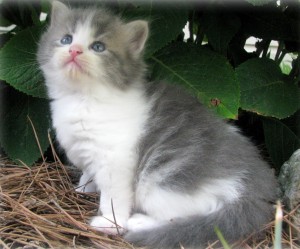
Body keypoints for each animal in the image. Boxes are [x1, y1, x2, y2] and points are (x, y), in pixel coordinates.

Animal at [37, 0, 276, 248]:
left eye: (98, 47)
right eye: (66, 39)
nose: (74, 50)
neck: (83, 98)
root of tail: (253, 180)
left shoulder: (116, 161)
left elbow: (114, 196)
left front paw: (112, 222)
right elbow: (90, 172)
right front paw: (85, 185)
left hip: (161, 179)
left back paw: (141, 223)